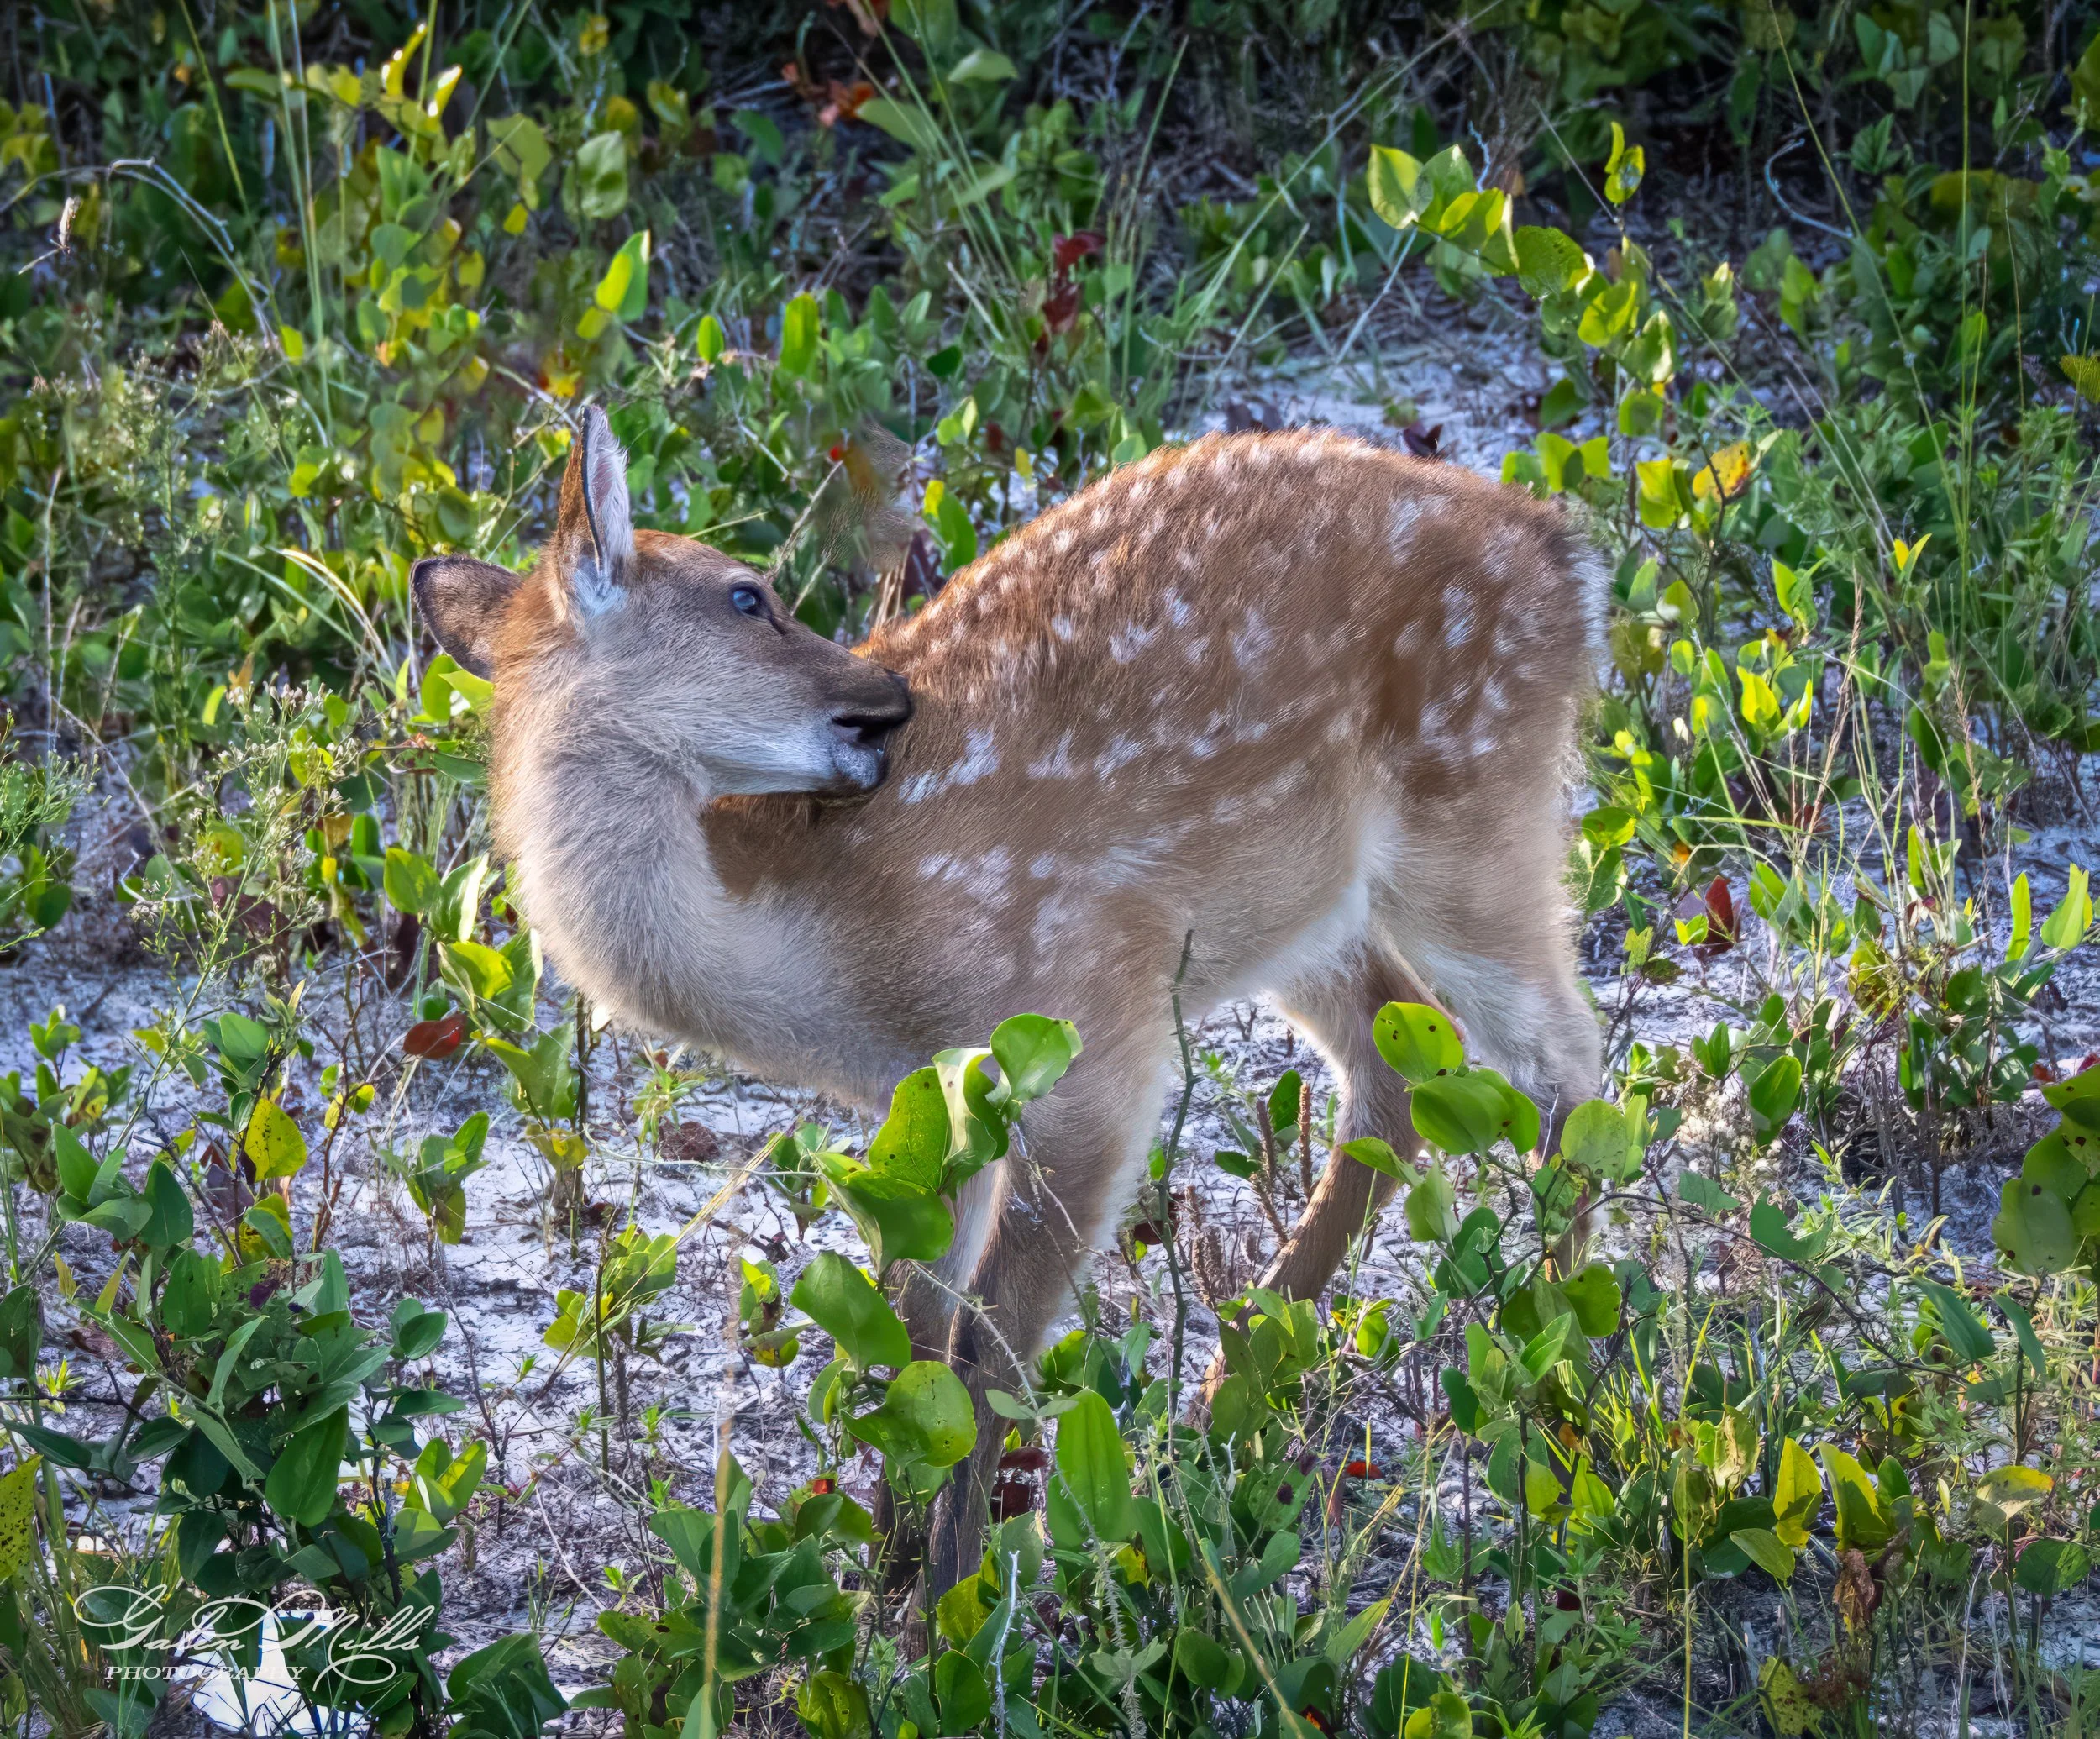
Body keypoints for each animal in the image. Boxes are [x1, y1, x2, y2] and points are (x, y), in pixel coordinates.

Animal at [413, 405, 1605, 1591]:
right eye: (747, 597)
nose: (887, 705)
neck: (824, 951)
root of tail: (1560, 550)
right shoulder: (940, 1087)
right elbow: (912, 1325)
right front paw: (892, 1572)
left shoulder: (1090, 1027)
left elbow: (985, 1345)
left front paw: (954, 1596)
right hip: (1289, 902)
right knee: (1402, 1061)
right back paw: (1222, 1411)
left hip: (1469, 807)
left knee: (1568, 1071)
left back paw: (1553, 1398)